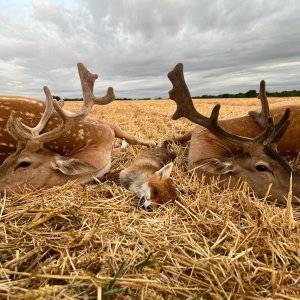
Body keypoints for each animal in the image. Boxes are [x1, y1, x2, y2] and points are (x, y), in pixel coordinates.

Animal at [0, 63, 155, 195]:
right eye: (6, 159)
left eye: (24, 163)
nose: (0, 183)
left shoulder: (105, 126)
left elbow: (131, 138)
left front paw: (152, 144)